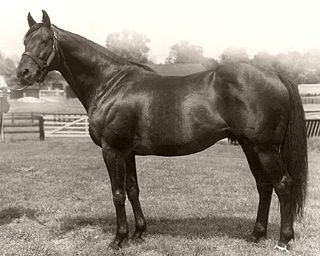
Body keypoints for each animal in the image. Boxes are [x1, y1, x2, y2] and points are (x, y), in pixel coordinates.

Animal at [15, 11, 308, 251]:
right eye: (25, 41)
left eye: (45, 40)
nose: (23, 73)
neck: (110, 83)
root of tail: (275, 74)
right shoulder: (127, 152)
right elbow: (132, 189)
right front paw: (138, 233)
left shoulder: (112, 150)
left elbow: (117, 194)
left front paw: (118, 239)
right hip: (250, 146)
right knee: (264, 186)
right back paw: (256, 235)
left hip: (264, 148)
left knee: (283, 184)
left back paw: (283, 240)